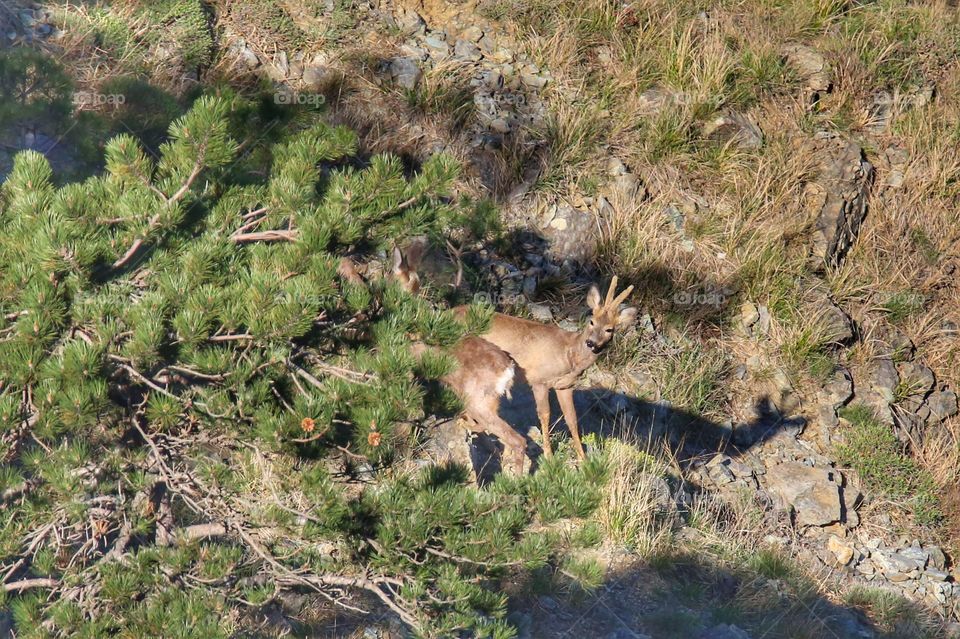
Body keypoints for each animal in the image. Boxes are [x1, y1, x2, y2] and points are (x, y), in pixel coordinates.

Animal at [458, 278, 636, 460]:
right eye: (591, 321)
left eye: (609, 329)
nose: (591, 342)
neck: (569, 354)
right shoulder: (539, 380)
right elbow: (545, 414)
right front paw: (549, 455)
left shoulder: (565, 386)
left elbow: (572, 418)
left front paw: (583, 458)